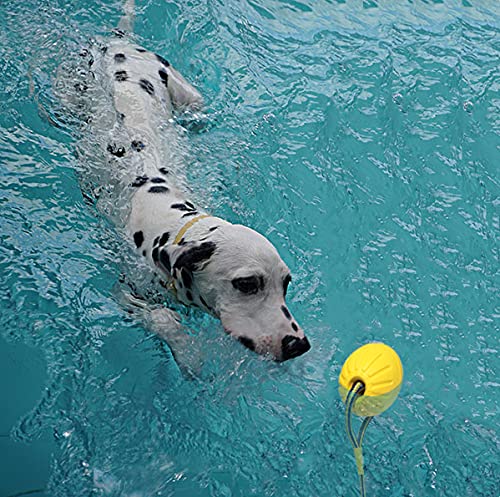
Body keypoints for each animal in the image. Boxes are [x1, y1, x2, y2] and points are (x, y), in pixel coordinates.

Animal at [80, 1, 310, 362]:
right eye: (247, 284)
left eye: (285, 284)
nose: (299, 344)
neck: (167, 217)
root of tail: (120, 43)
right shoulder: (127, 291)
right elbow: (165, 320)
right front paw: (190, 356)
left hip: (187, 94)